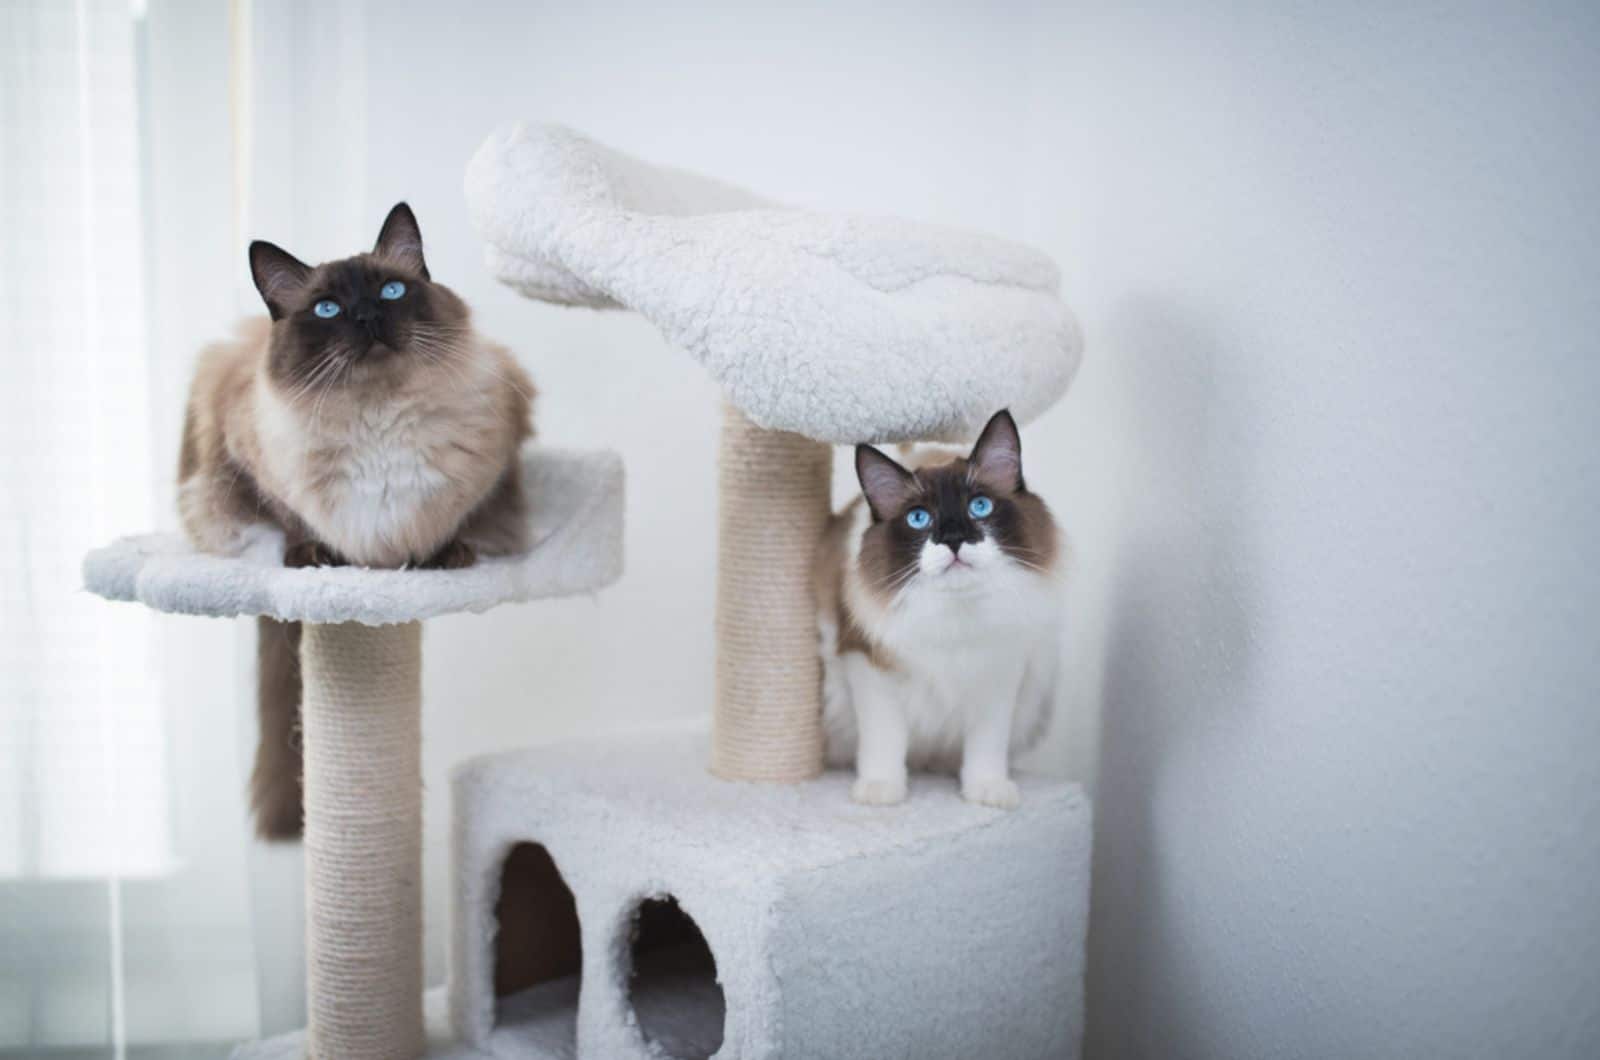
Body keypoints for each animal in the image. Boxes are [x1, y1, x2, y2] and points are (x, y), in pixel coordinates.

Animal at [179, 203, 534, 845]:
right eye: (327, 309)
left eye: (391, 291)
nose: (367, 316)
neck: (378, 422)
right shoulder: (252, 466)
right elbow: (294, 524)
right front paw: (317, 558)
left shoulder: (493, 462)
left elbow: (457, 525)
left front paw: (444, 557)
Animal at [812, 409, 1062, 810]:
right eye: (919, 519)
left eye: (979, 506)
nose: (954, 539)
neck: (956, 618)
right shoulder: (869, 665)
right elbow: (884, 739)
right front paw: (881, 790)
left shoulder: (1000, 672)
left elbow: (987, 746)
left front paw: (987, 790)